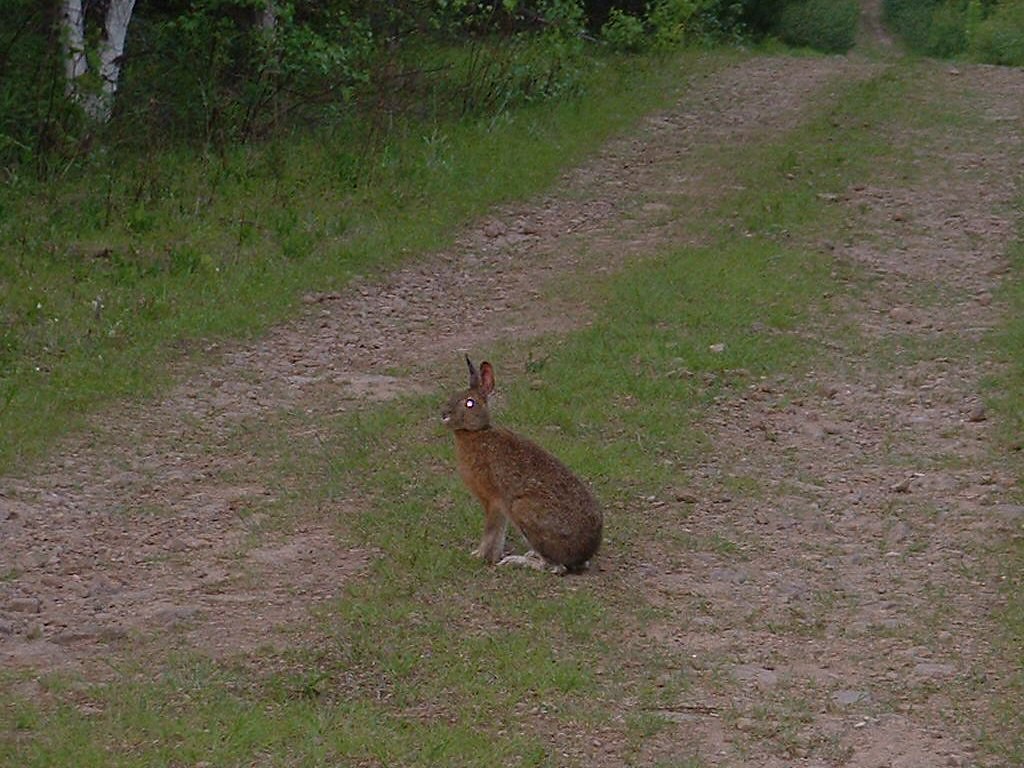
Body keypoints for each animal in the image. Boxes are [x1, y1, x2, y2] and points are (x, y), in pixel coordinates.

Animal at [441, 356, 603, 574]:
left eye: (469, 403)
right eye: (454, 395)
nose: (444, 414)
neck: (477, 433)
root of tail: (584, 552)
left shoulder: (493, 500)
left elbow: (491, 532)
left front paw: (480, 556)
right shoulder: (500, 506)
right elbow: (499, 533)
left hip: (522, 509)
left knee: (554, 567)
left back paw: (517, 560)